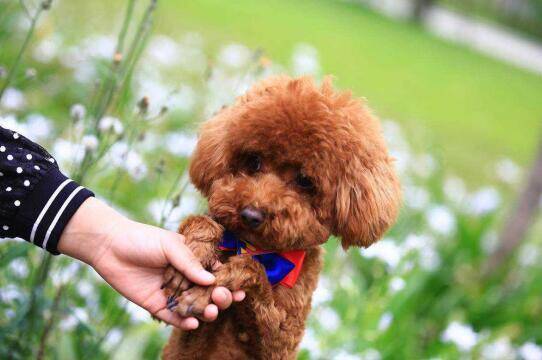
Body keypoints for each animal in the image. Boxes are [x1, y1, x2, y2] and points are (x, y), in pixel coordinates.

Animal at [159, 74, 402, 358]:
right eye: (253, 161)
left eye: (305, 181)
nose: (251, 214)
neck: (255, 247)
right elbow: (204, 223)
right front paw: (193, 254)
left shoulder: (280, 342)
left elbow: (251, 270)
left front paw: (205, 292)